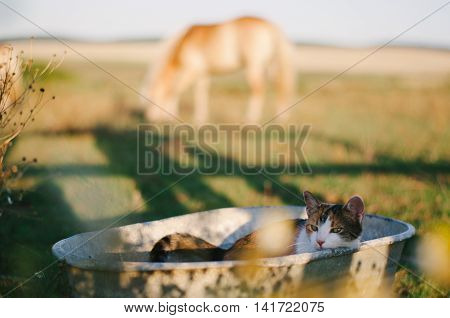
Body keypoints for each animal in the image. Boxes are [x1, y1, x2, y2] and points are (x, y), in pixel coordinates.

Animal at [142, 16, 296, 123]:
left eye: (152, 99)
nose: (150, 119)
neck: (186, 42)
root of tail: (269, 26)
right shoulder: (203, 73)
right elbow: (201, 94)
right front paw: (200, 118)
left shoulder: (191, 71)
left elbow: (173, 90)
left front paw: (171, 117)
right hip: (271, 65)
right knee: (280, 86)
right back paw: (281, 117)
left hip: (254, 65)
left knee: (258, 89)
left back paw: (250, 118)